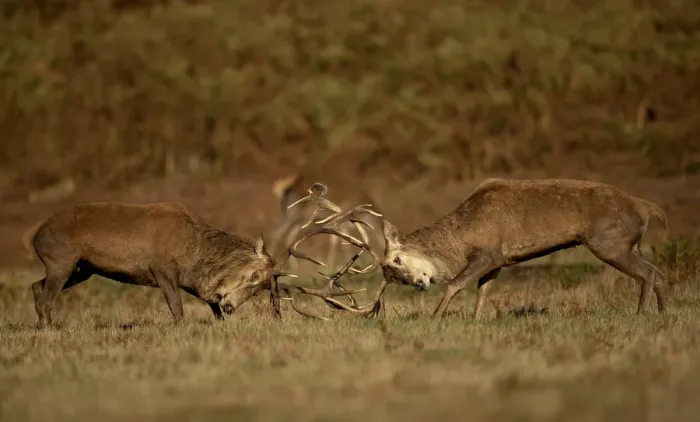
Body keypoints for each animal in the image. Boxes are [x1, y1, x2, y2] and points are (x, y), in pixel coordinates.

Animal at [291, 178, 670, 320]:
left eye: (397, 259)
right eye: (393, 276)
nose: (419, 284)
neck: (459, 238)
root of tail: (647, 208)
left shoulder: (488, 251)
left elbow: (457, 284)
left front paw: (436, 317)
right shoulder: (500, 259)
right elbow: (483, 290)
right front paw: (475, 321)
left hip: (609, 241)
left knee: (647, 274)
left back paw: (641, 314)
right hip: (624, 243)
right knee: (658, 271)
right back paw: (662, 313)